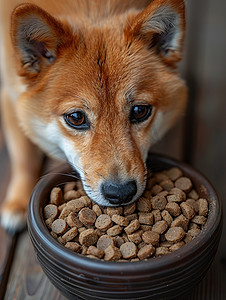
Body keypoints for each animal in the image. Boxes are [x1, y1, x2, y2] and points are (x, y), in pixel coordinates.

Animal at [0, 0, 187, 232]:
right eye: (76, 117)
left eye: (139, 111)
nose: (121, 193)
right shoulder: (9, 97)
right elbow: (24, 158)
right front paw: (18, 203)